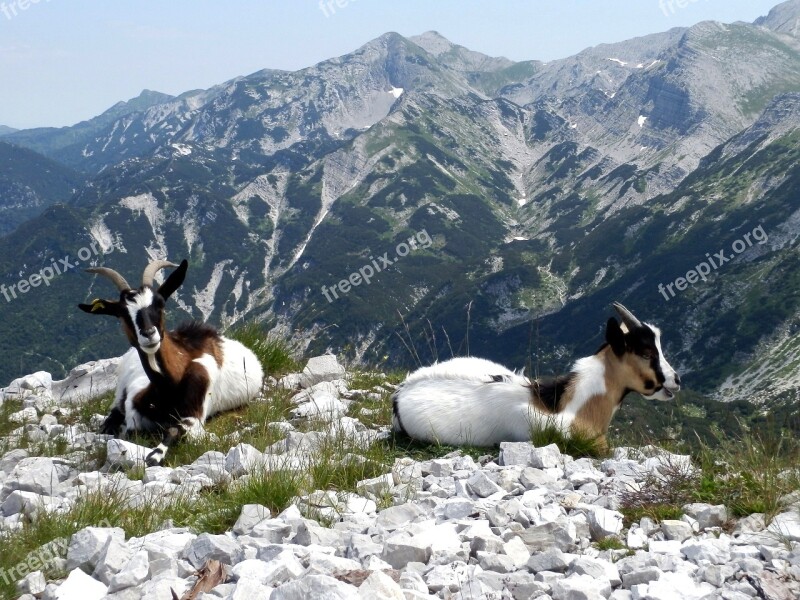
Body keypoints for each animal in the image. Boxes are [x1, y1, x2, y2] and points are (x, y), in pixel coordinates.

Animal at [80, 258, 264, 464]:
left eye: (160, 303)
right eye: (122, 313)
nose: (149, 334)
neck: (169, 389)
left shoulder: (195, 414)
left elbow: (175, 429)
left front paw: (155, 455)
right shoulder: (133, 406)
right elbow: (131, 428)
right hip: (120, 389)